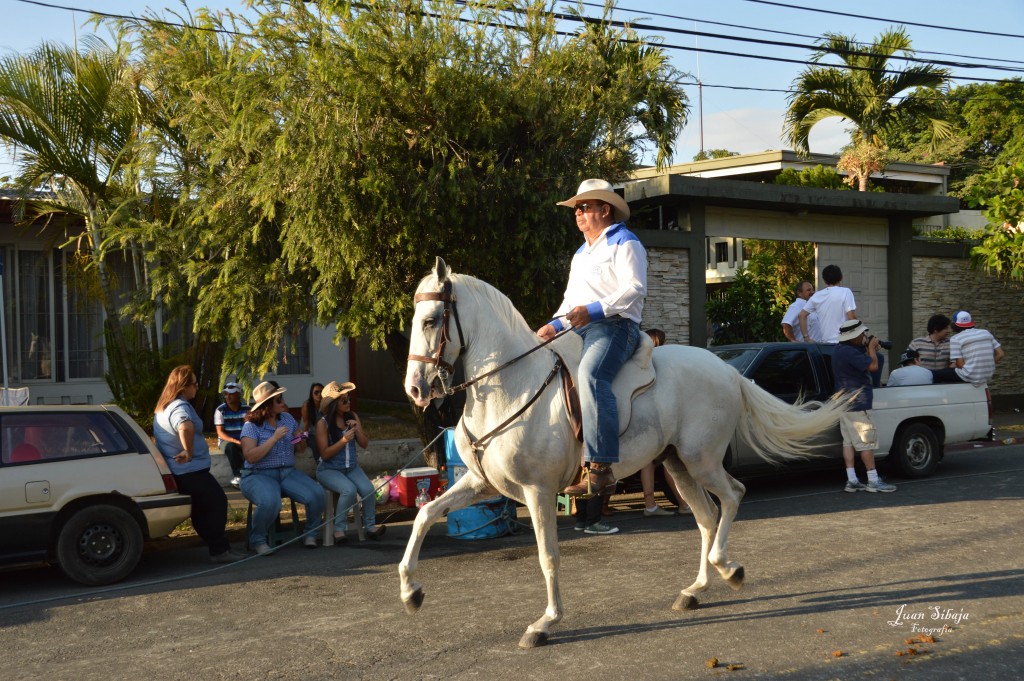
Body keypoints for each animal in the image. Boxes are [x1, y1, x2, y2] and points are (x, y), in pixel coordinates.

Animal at [399, 259, 847, 647]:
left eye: (431, 320)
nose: (415, 389)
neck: (513, 386)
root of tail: (727, 370)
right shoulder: (481, 484)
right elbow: (425, 514)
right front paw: (410, 592)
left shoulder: (537, 490)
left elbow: (548, 556)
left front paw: (545, 623)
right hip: (678, 466)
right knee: (706, 517)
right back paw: (695, 590)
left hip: (701, 460)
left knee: (733, 496)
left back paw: (728, 568)